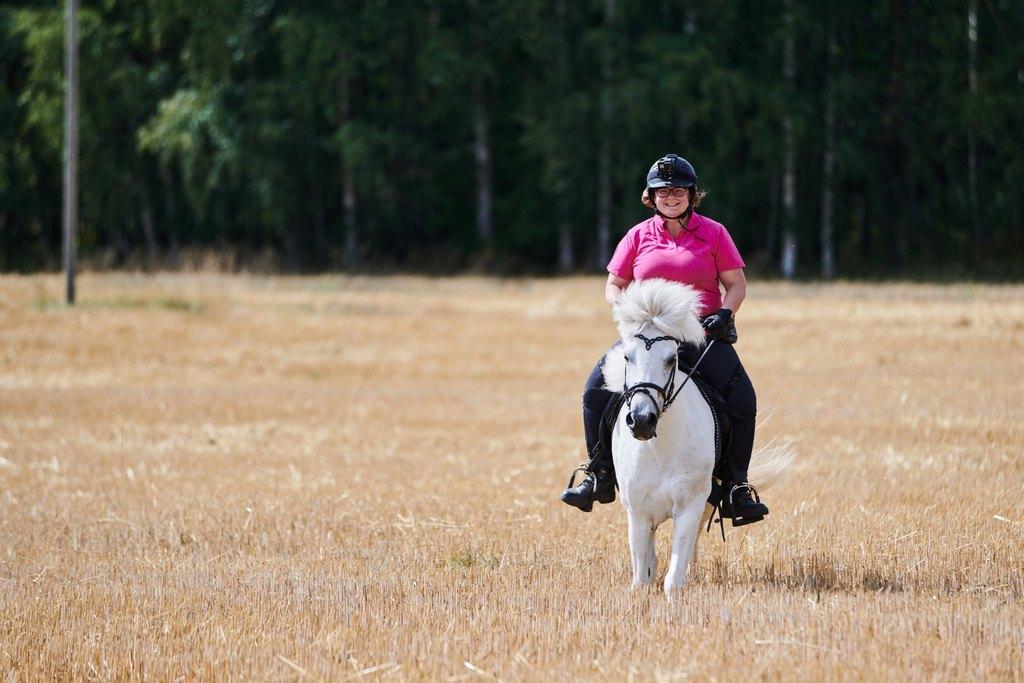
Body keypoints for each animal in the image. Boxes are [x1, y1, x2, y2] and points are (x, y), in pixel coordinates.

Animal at [598, 280, 790, 593]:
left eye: (671, 359)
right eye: (627, 356)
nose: (642, 420)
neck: (660, 446)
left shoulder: (690, 507)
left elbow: (673, 578)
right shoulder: (638, 513)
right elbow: (641, 577)